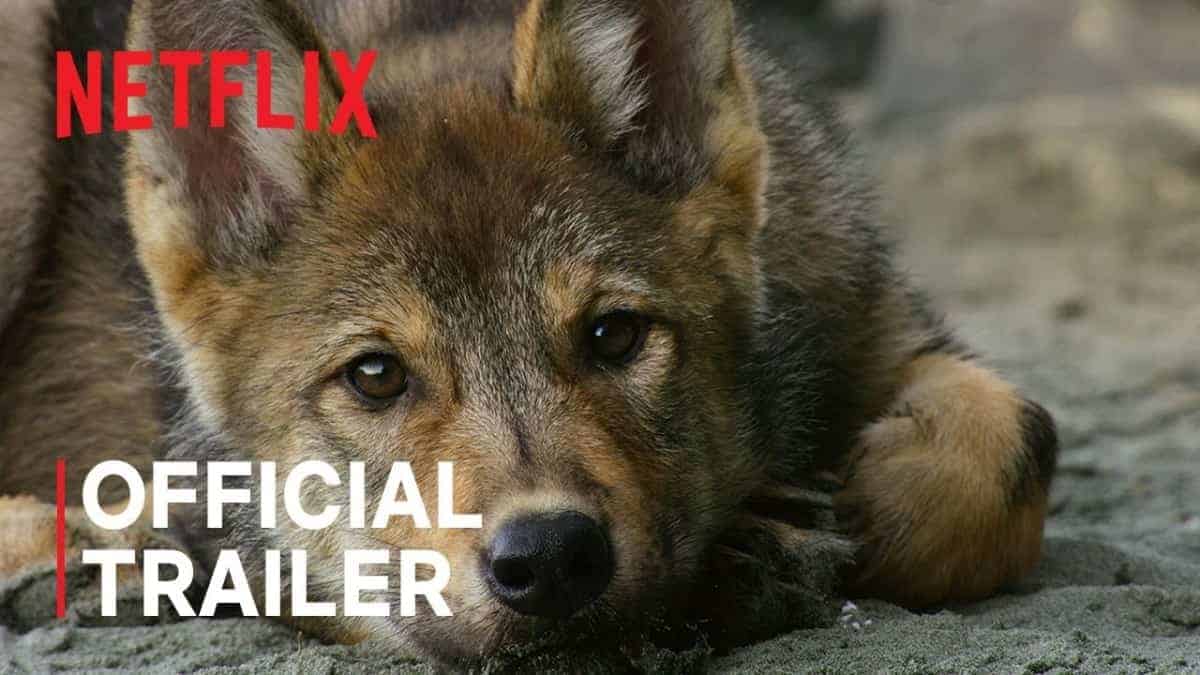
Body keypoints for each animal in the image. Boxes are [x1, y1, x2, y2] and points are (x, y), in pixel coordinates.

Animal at [0, 0, 1058, 666]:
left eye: (615, 335)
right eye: (376, 375)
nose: (550, 557)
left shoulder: (880, 322)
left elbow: (1006, 456)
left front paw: (845, 511)